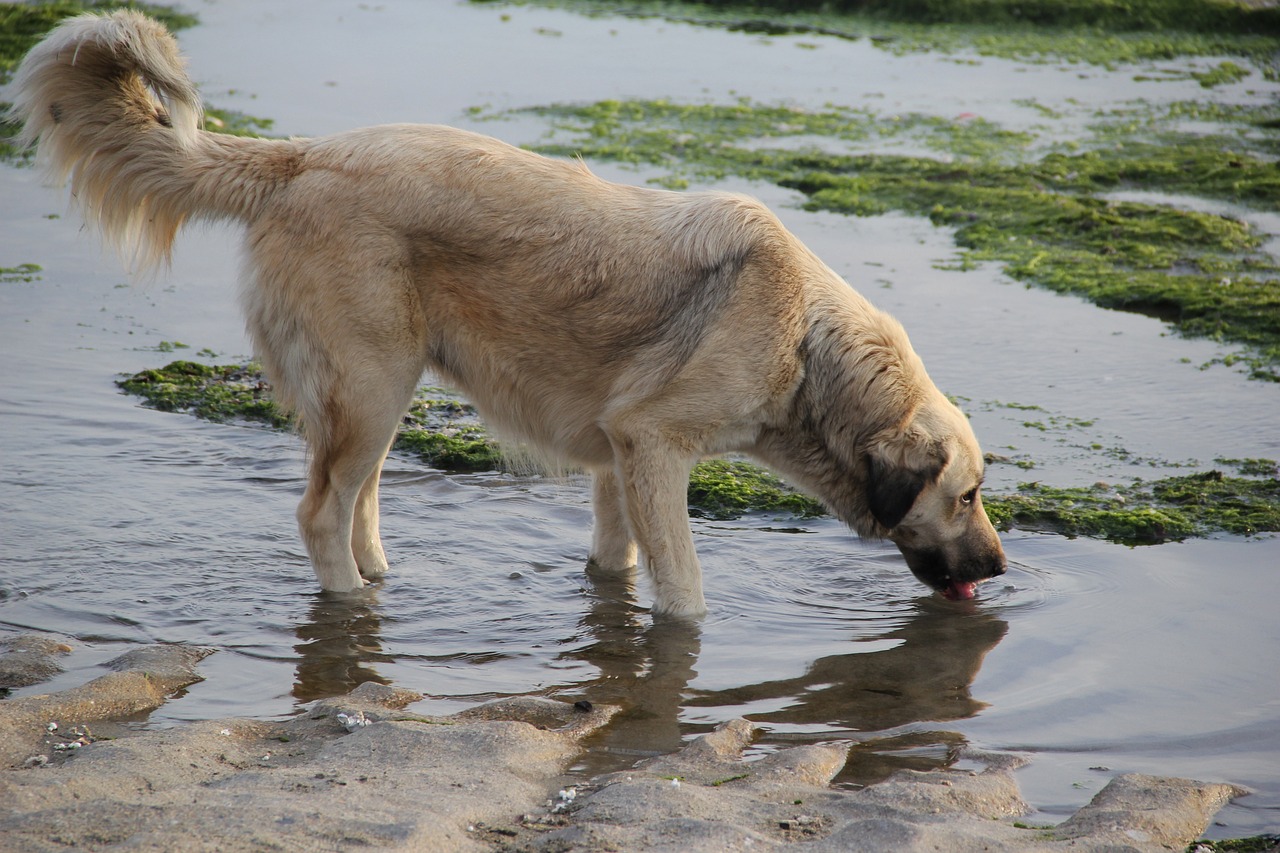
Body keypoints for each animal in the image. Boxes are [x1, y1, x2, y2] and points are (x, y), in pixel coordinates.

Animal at [12, 9, 1008, 614]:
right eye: (966, 495)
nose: (1002, 567)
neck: (805, 340)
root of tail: (303, 157)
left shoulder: (618, 461)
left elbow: (616, 560)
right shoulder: (655, 447)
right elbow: (684, 592)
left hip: (378, 396)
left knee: (358, 497)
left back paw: (381, 579)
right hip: (371, 386)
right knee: (320, 512)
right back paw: (351, 602)